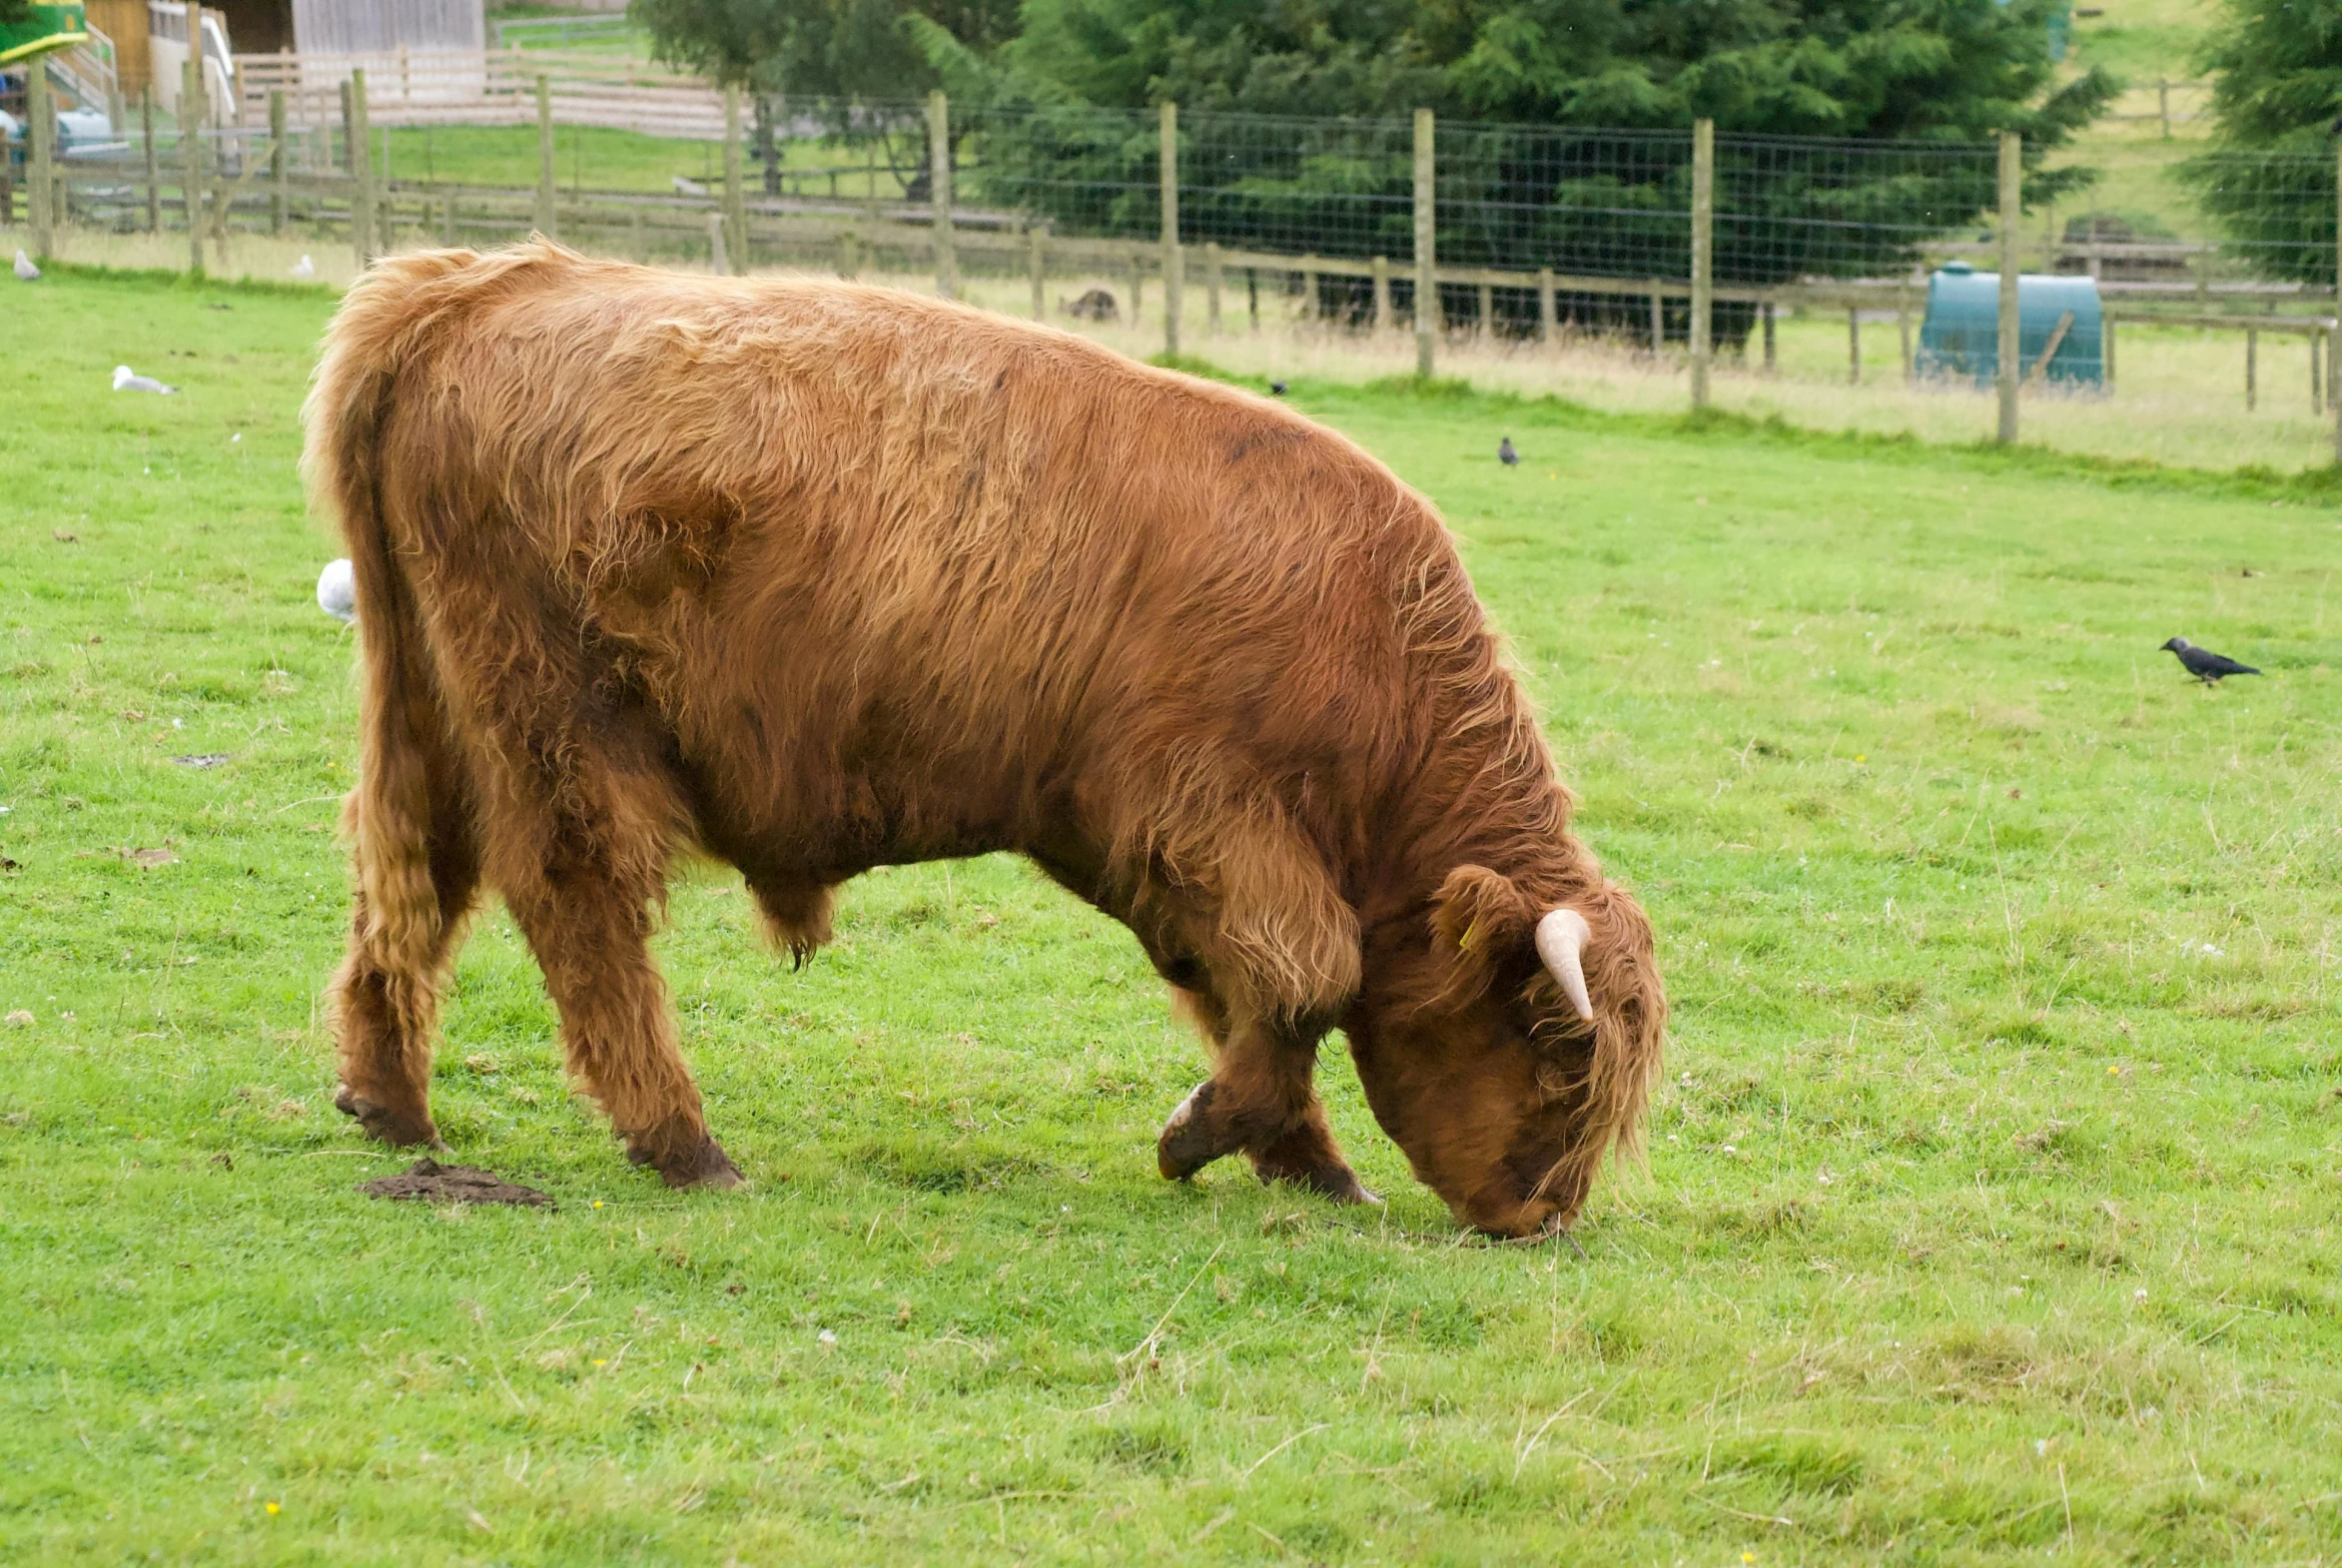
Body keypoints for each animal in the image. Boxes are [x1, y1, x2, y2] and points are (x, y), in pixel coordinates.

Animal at [311, 242, 1667, 1244]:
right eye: (1554, 1053)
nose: (1541, 1214)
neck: (1367, 653)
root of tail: (473, 283)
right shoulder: (1206, 819)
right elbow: (1305, 983)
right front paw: (1204, 1137)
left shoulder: (1162, 861)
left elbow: (1248, 1000)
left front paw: (1299, 1160)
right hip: (557, 721)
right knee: (575, 902)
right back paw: (682, 1143)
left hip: (430, 708)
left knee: (408, 876)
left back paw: (390, 1103)